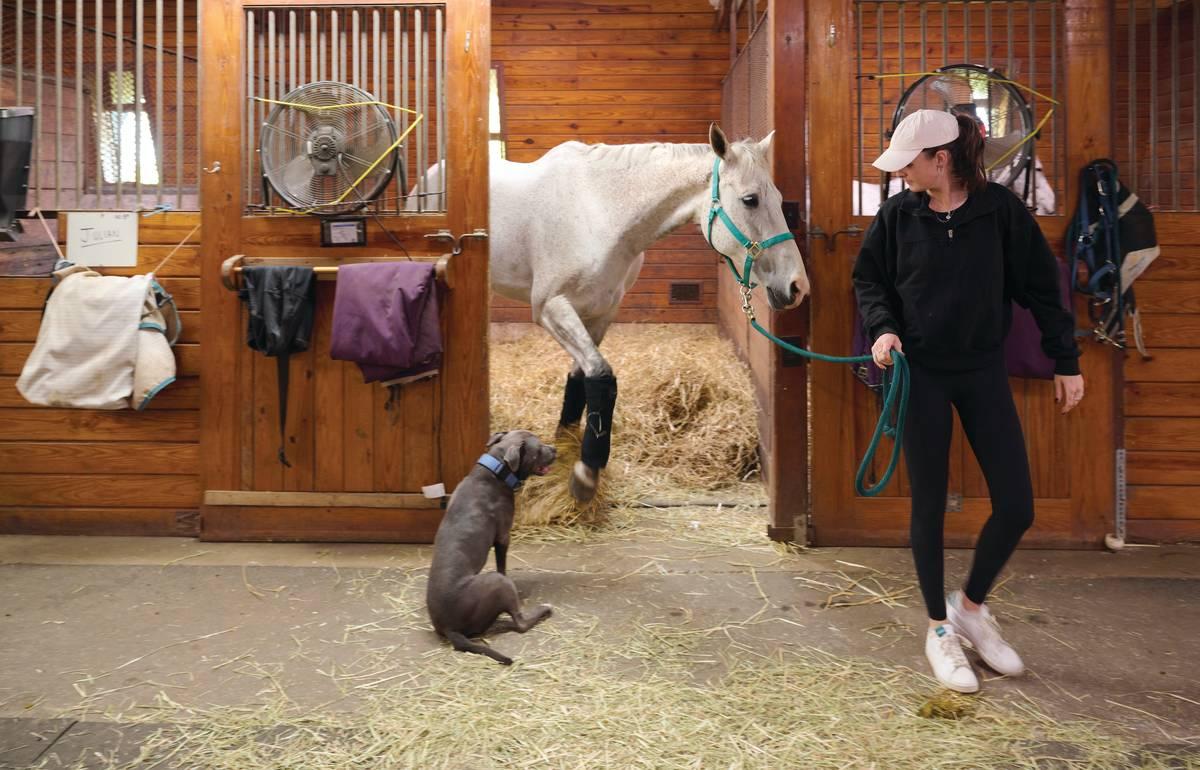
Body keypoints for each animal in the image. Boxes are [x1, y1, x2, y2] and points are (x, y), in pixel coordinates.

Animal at [414, 124, 809, 502]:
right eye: (750, 200)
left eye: (778, 199)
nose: (797, 286)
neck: (600, 211)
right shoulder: (550, 306)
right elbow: (602, 376)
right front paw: (587, 472)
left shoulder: (601, 311)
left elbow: (581, 377)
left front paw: (566, 443)